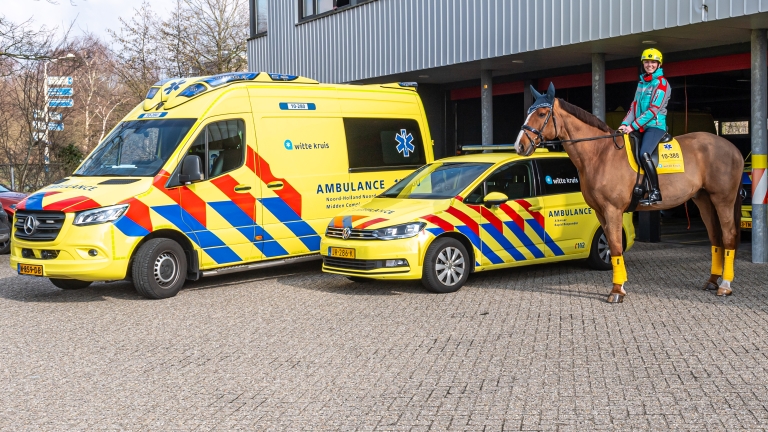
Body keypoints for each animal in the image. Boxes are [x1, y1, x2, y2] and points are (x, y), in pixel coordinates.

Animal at [516, 82, 744, 302]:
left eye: (542, 114)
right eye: (527, 112)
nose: (520, 145)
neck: (601, 153)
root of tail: (733, 149)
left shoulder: (612, 209)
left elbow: (616, 246)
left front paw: (616, 291)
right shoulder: (600, 211)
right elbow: (611, 245)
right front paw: (621, 285)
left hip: (723, 200)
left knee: (729, 236)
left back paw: (725, 286)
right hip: (704, 200)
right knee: (715, 237)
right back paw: (712, 281)